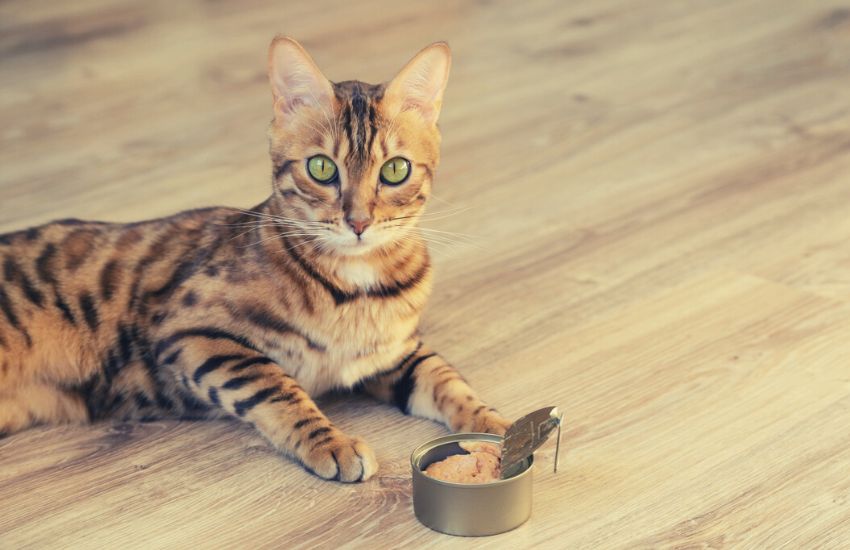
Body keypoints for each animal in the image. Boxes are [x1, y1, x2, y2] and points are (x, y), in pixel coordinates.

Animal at [0, 37, 510, 484]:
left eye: (396, 170)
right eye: (321, 168)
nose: (359, 222)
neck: (354, 289)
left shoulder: (398, 353)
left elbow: (448, 380)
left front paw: (498, 427)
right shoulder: (190, 332)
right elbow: (274, 384)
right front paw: (332, 443)